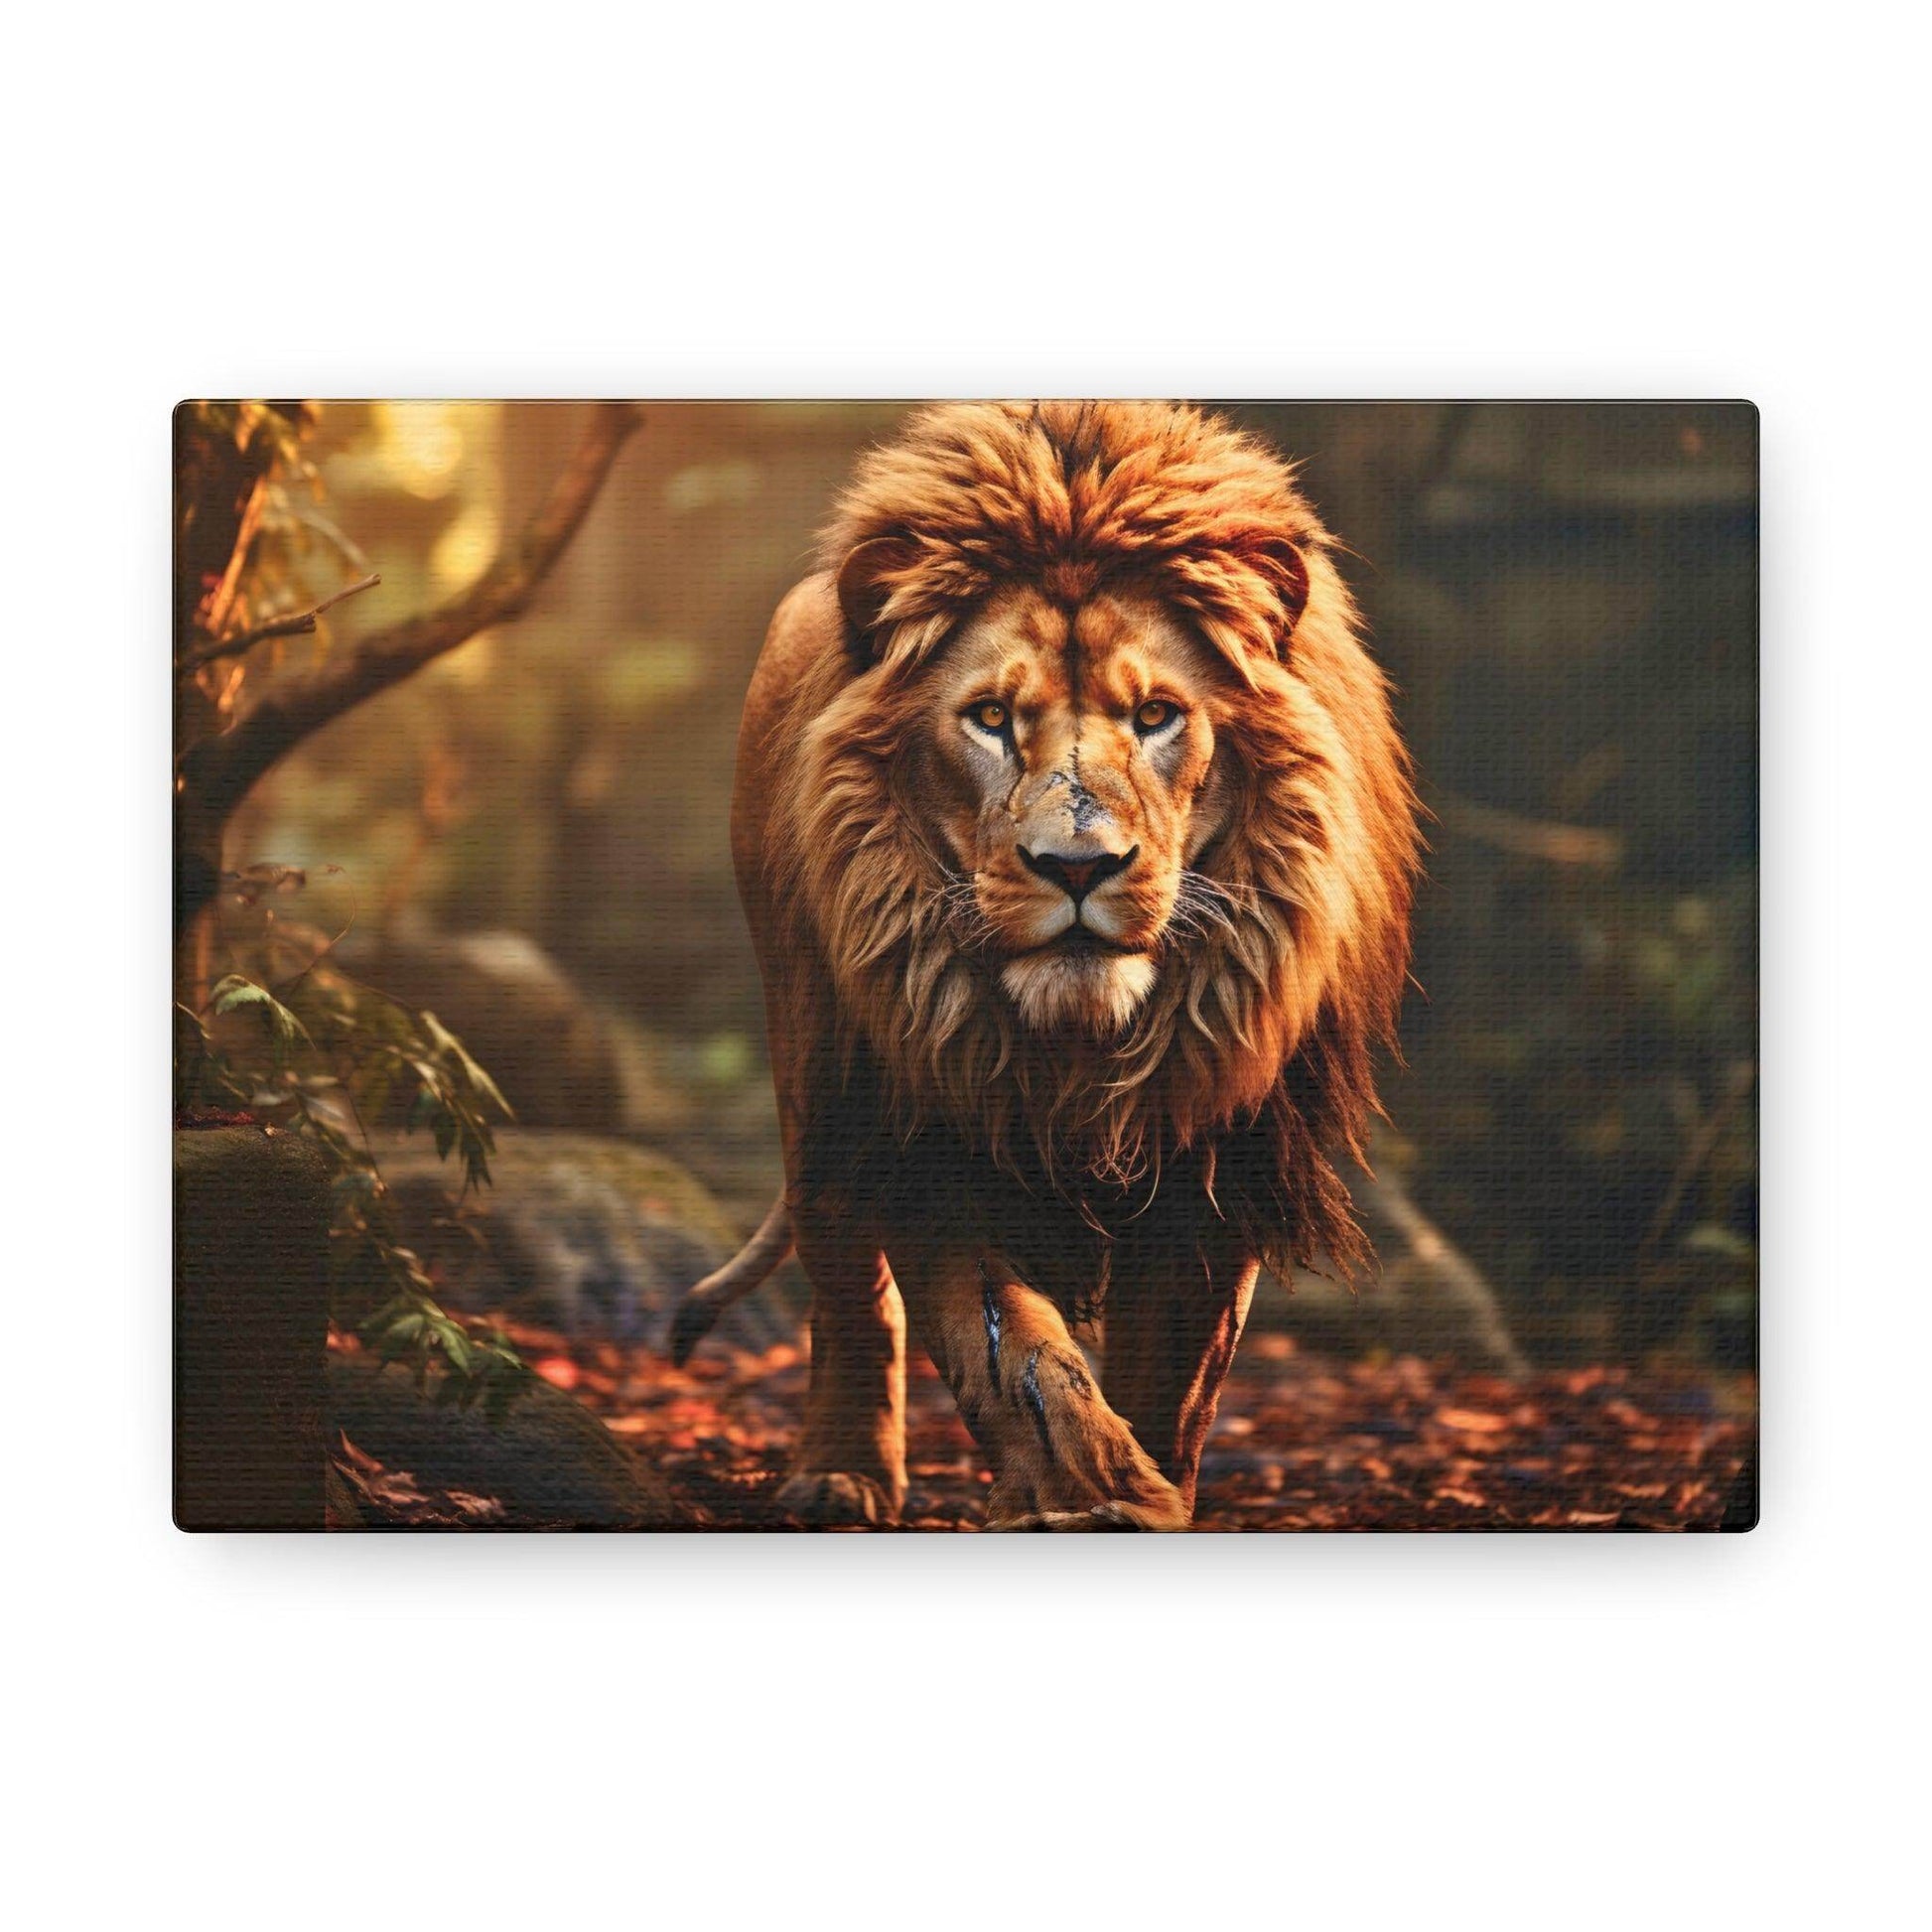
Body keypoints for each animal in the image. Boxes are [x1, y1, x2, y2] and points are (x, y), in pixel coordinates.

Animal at [669, 401, 1419, 1528]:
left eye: (1154, 715)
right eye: (989, 717)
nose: (1077, 865)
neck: (1081, 1047)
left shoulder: (1218, 1150)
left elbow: (1173, 1380)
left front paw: (1146, 1493)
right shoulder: (929, 1124)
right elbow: (1012, 1354)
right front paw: (1088, 1490)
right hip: (815, 1058)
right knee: (845, 1274)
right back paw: (839, 1473)